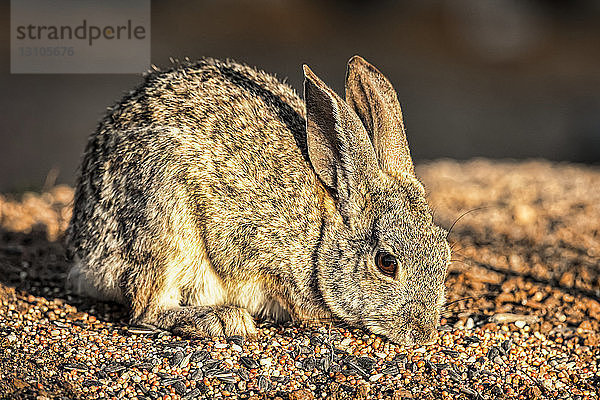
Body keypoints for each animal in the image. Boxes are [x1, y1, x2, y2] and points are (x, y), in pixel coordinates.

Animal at [67, 54, 450, 346]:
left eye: (445, 254)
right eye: (387, 263)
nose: (424, 333)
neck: (322, 235)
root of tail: (86, 251)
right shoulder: (251, 244)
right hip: (165, 224)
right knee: (147, 309)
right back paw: (223, 320)